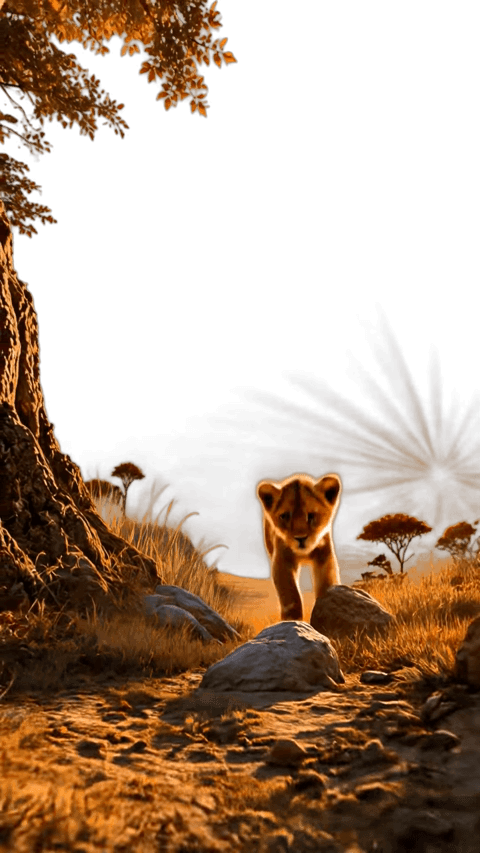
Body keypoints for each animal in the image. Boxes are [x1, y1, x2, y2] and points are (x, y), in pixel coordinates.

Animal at [256, 472, 342, 621]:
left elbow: (327, 582)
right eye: (285, 516)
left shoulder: (325, 555)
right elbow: (291, 594)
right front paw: (292, 619)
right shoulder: (282, 560)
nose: (300, 538)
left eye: (311, 515)